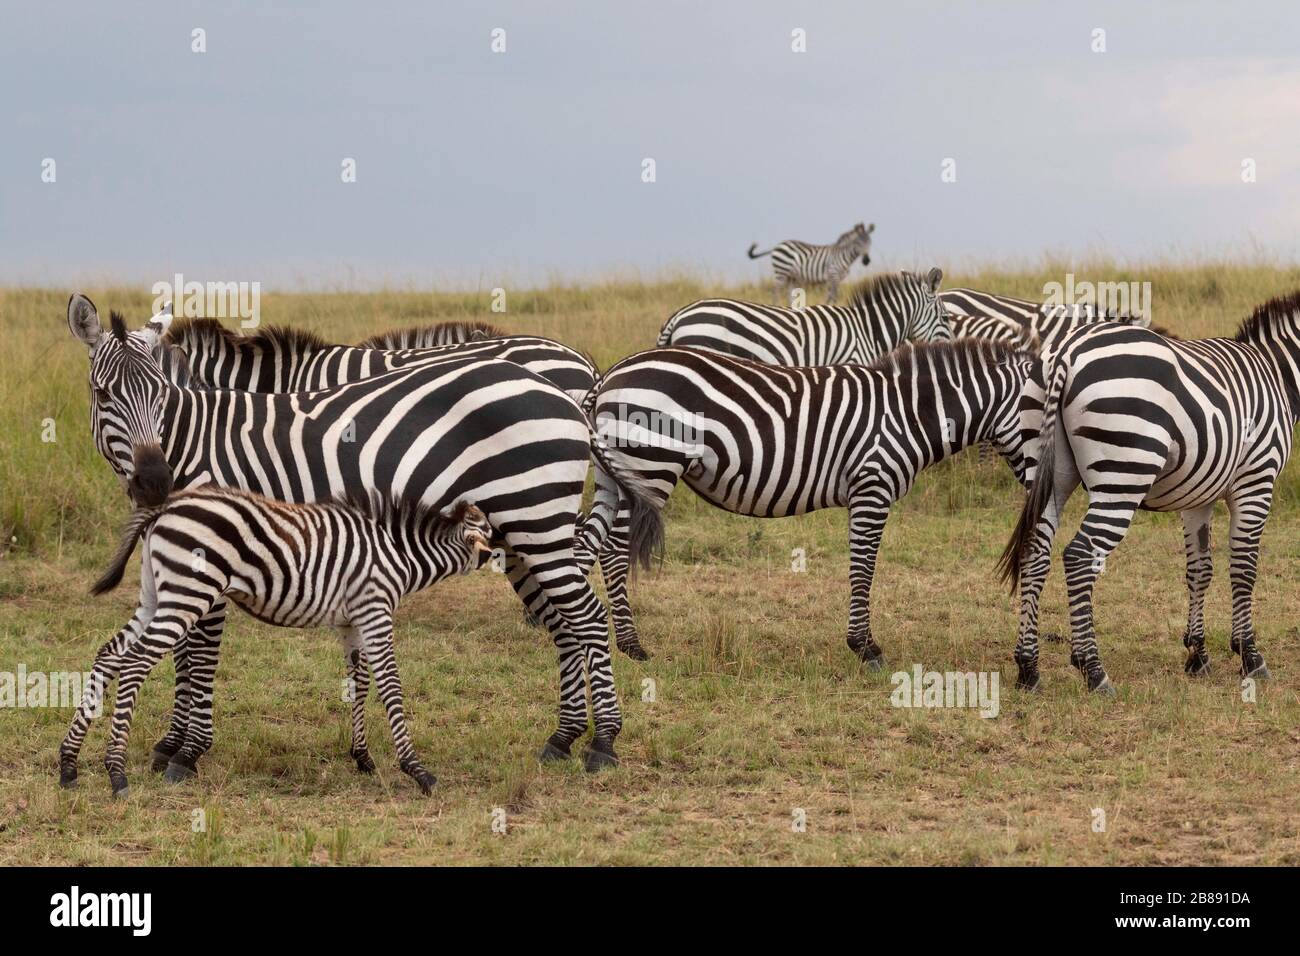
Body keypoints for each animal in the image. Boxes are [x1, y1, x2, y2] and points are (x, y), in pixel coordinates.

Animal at [60, 486, 494, 797]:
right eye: (493, 536)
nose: (502, 559)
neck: (397, 555)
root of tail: (164, 508)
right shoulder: (374, 610)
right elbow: (390, 685)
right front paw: (418, 771)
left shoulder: (351, 622)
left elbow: (359, 684)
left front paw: (362, 757)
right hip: (187, 593)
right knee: (134, 663)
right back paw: (116, 773)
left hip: (155, 595)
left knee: (109, 655)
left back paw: (69, 764)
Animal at [583, 337, 1038, 665]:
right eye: (1046, 422)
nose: (1046, 488)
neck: (908, 413)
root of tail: (608, 377)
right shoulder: (872, 486)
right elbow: (863, 567)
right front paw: (864, 647)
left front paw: (861, 642)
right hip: (648, 469)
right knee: (615, 552)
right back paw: (632, 647)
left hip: (614, 478)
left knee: (591, 544)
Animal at [998, 292, 1300, 693]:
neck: (1278, 372)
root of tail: (1066, 353)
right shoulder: (1256, 480)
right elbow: (1244, 568)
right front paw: (1250, 656)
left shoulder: (1198, 495)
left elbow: (1200, 569)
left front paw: (1198, 654)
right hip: (1123, 475)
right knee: (1080, 556)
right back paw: (1094, 671)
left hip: (1046, 471)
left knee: (1035, 552)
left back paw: (1029, 668)